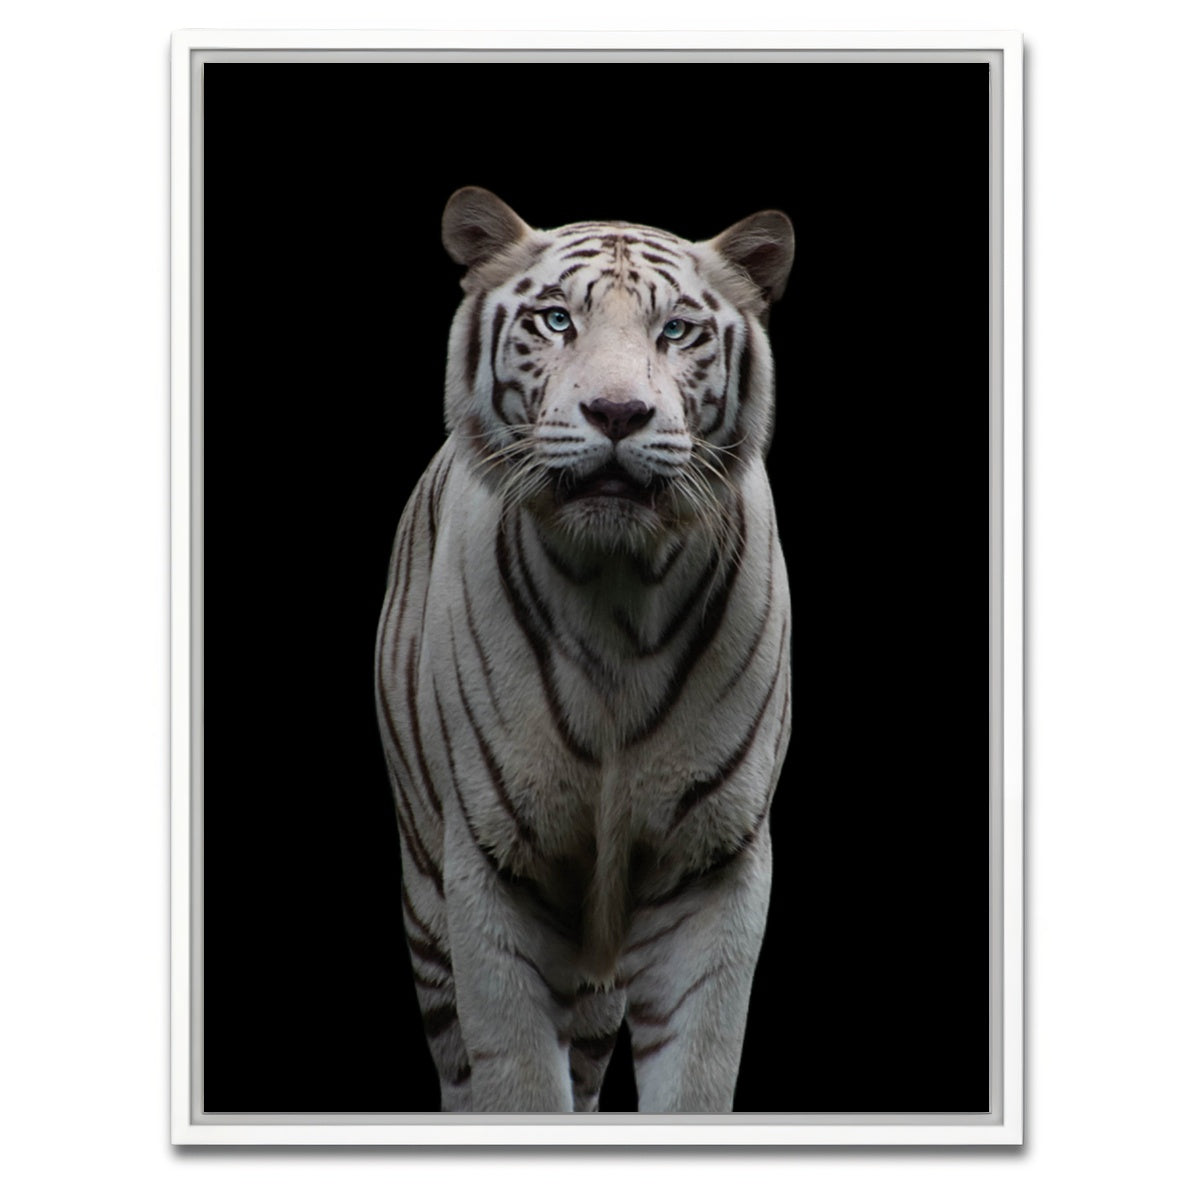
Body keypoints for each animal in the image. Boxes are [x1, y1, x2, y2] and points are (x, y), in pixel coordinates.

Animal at [374, 187, 793, 1113]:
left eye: (677, 329)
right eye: (558, 320)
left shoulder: (715, 864)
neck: (618, 597)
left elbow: (697, 1075)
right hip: (426, 899)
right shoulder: (491, 866)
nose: (617, 413)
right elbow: (518, 1078)